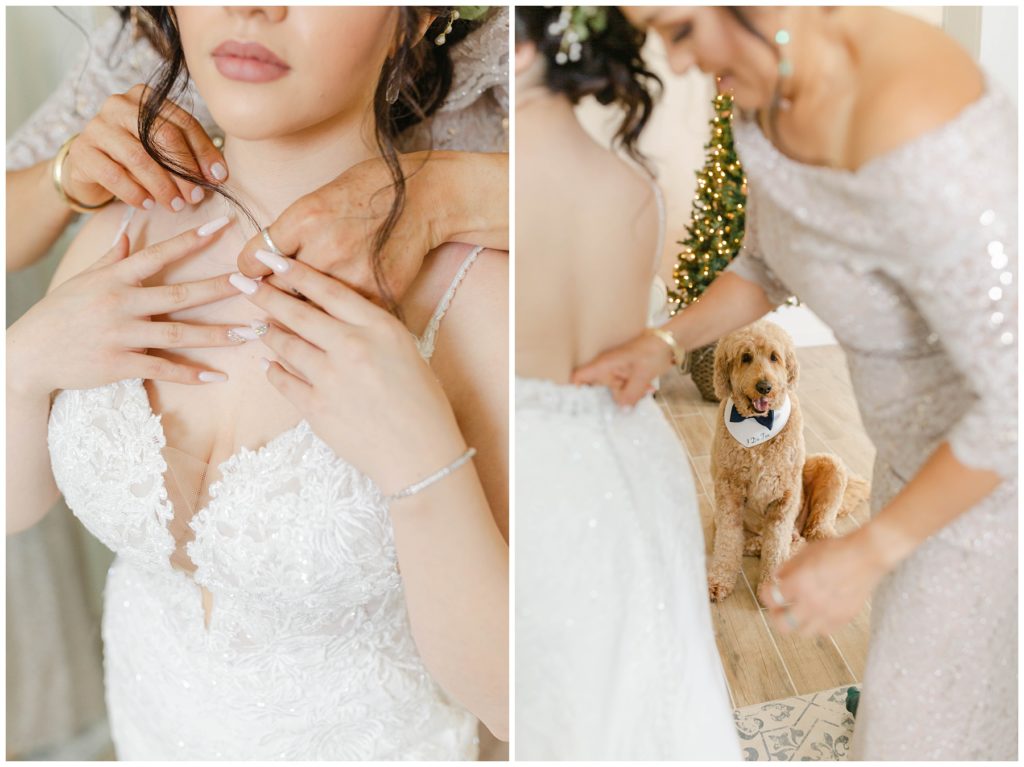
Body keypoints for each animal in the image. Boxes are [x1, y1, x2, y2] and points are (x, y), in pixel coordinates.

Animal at [708, 319, 868, 602]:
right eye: (745, 357)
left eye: (774, 357)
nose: (765, 387)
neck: (758, 424)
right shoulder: (728, 491)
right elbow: (728, 541)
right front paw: (720, 580)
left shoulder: (785, 495)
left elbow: (776, 546)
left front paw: (772, 586)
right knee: (759, 541)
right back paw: (762, 543)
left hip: (829, 467)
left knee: (816, 529)